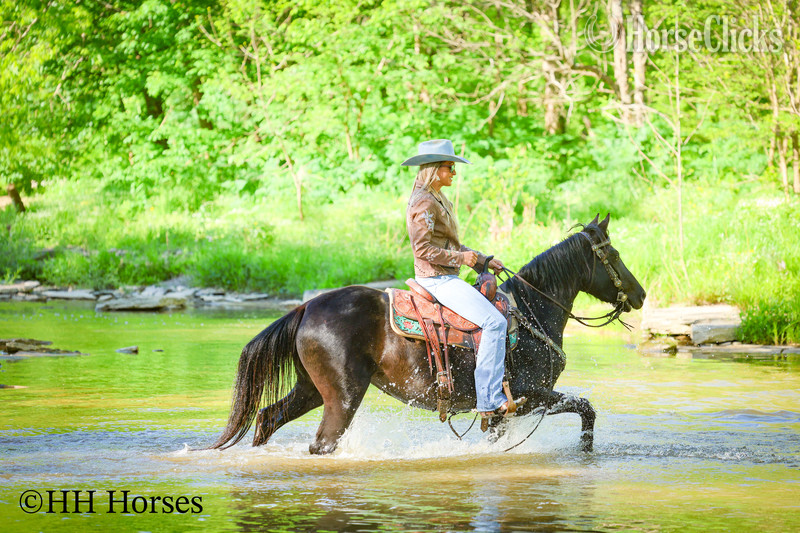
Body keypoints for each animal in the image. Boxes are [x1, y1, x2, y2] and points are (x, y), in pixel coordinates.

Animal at [210, 215, 646, 454]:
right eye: (615, 254)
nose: (640, 294)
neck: (531, 313)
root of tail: (307, 308)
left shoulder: (506, 412)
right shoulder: (529, 396)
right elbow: (586, 408)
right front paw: (585, 451)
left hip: (310, 389)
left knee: (267, 418)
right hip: (343, 397)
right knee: (321, 443)